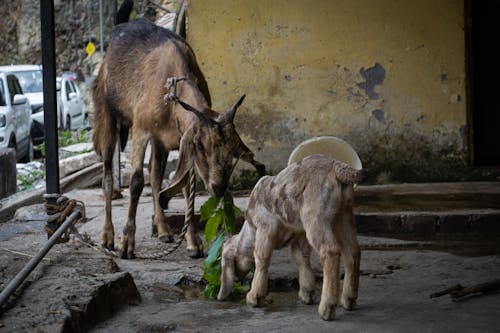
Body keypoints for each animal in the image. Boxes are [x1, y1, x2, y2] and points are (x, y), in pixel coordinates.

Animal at [94, 1, 266, 258]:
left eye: (233, 151)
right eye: (202, 147)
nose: (218, 187)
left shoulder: (176, 138)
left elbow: (184, 185)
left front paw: (193, 242)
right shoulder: (141, 129)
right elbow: (136, 182)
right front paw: (126, 243)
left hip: (160, 142)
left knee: (155, 176)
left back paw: (164, 231)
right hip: (107, 112)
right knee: (107, 174)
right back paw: (107, 236)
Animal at [218, 154, 368, 320]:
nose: (237, 280)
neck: (251, 229)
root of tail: (337, 166)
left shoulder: (265, 228)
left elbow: (261, 258)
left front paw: (254, 297)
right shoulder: (299, 233)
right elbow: (300, 257)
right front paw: (307, 294)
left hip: (316, 218)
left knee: (330, 251)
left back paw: (327, 309)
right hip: (343, 216)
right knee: (353, 251)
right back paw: (349, 300)